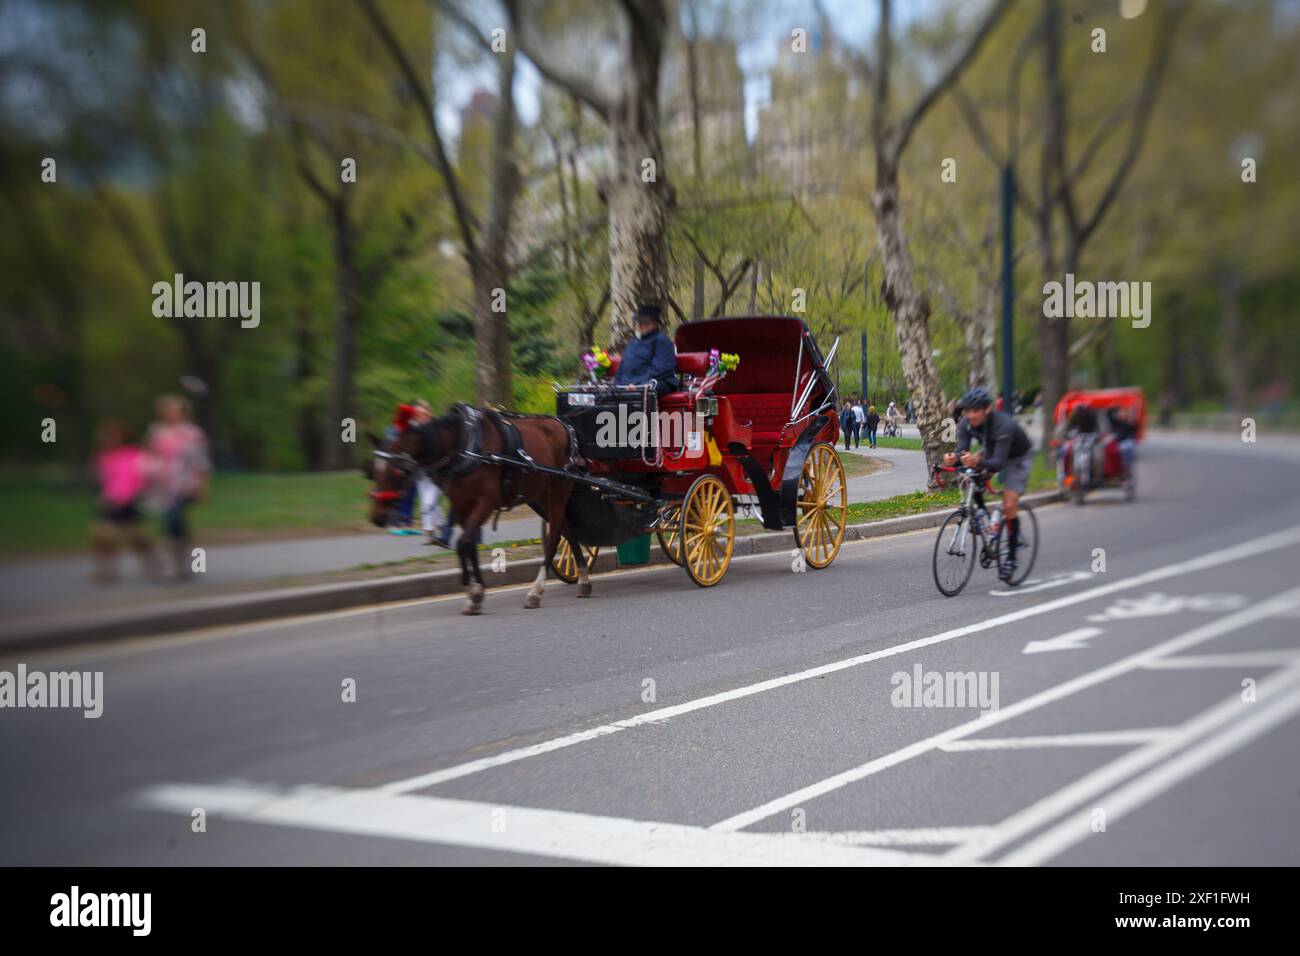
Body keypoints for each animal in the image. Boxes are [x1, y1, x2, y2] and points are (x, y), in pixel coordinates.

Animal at [366, 405, 590, 616]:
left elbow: (464, 542)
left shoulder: (486, 502)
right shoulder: (461, 504)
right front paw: (475, 593)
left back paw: (536, 591)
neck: (464, 447)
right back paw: (583, 579)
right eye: (374, 470)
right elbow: (468, 544)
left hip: (559, 488)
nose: (377, 517)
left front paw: (473, 591)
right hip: (542, 494)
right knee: (567, 530)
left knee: (554, 537)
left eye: (396, 470)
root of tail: (563, 423)